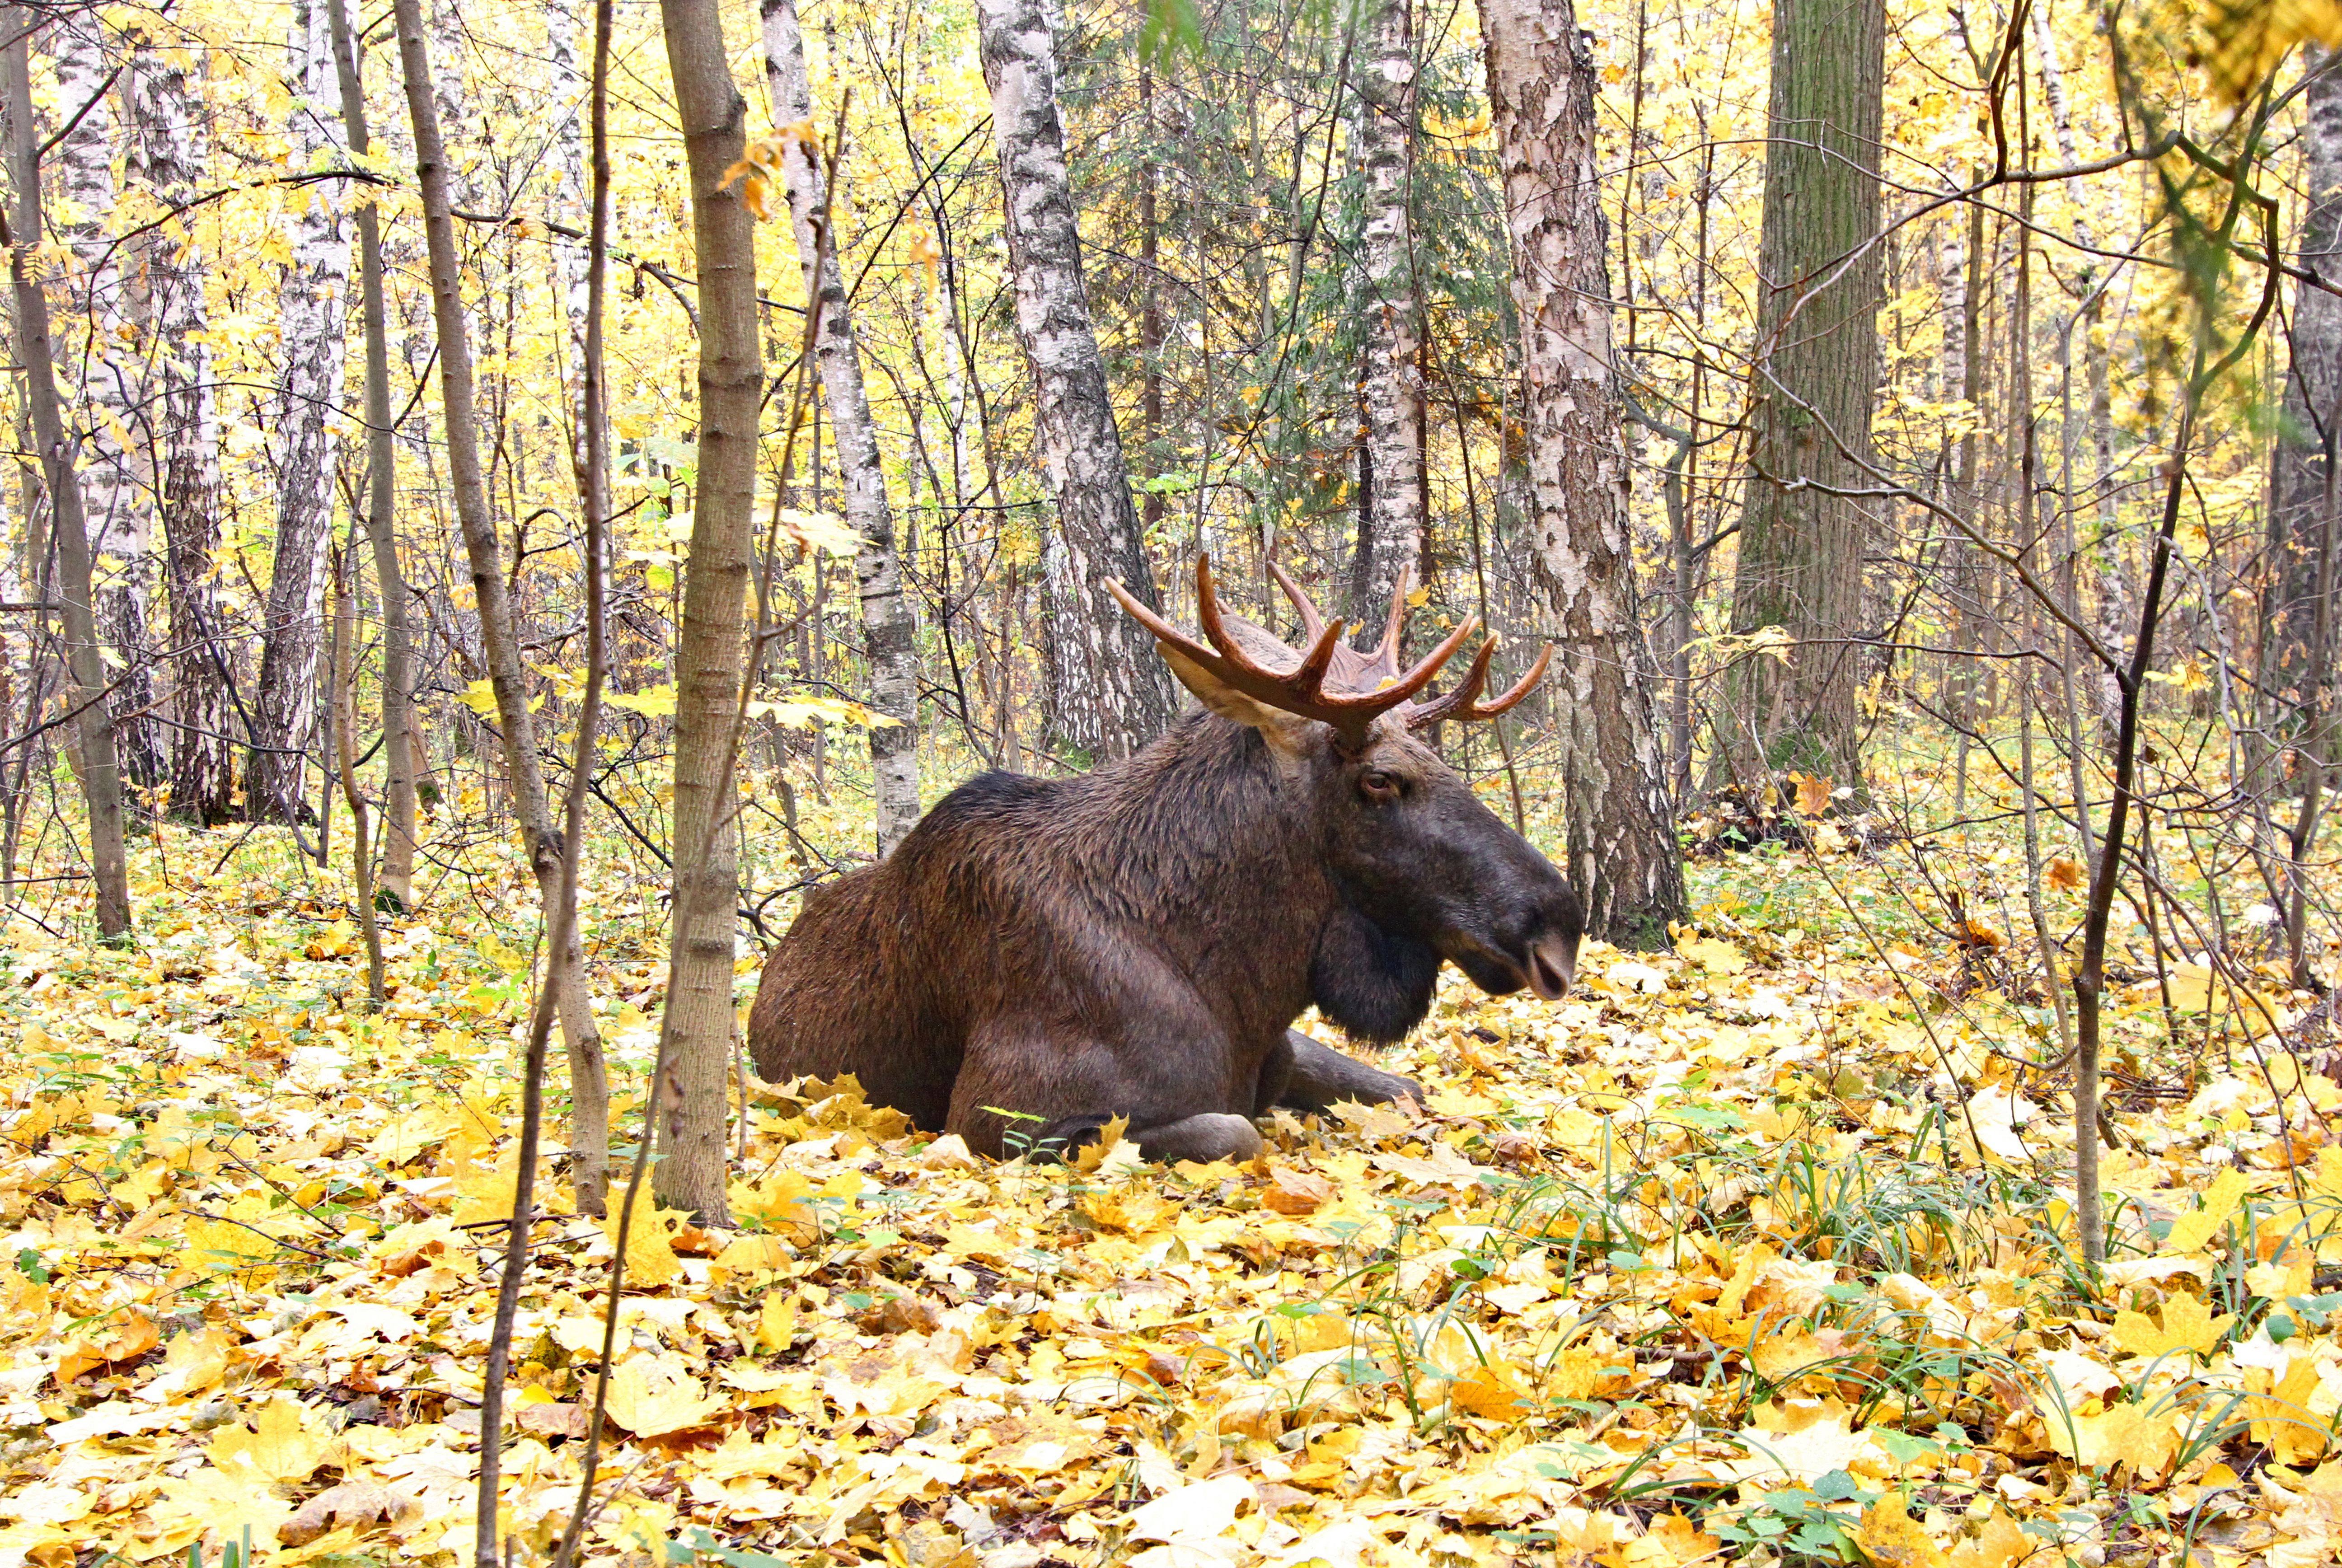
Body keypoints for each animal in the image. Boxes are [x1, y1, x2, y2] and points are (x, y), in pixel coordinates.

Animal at [749, 559, 1583, 1161]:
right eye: (1379, 778)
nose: (1559, 925)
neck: (1233, 976)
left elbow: (1410, 1089)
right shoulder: (996, 1117)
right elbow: (1236, 1131)